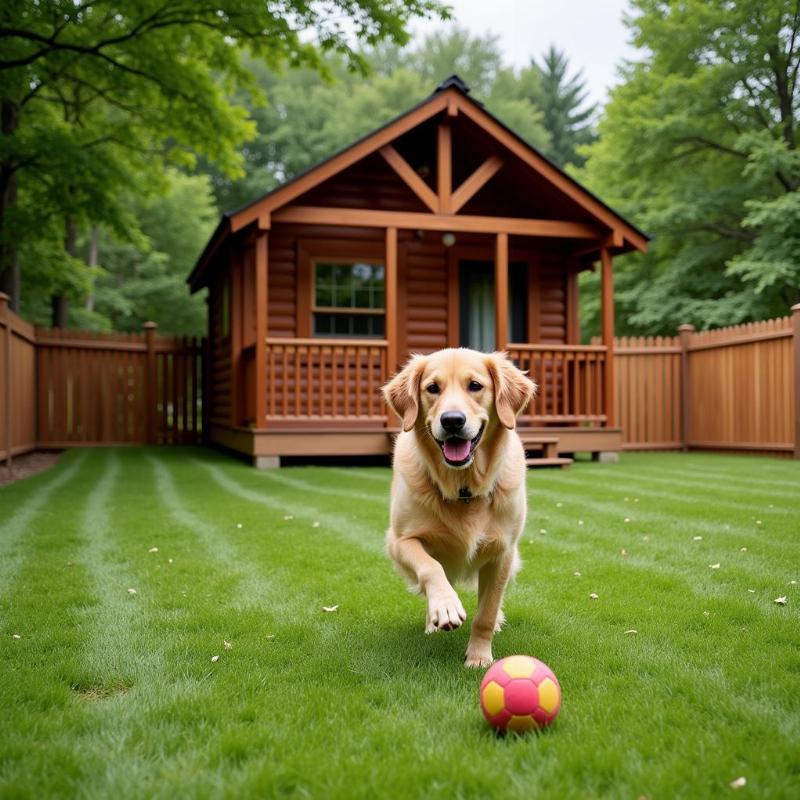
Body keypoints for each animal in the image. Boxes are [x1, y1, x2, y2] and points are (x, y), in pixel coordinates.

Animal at [382, 350, 536, 668]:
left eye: (475, 385)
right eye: (432, 388)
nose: (452, 421)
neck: (463, 487)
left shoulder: (503, 552)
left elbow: (486, 612)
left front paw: (479, 656)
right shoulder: (400, 540)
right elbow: (430, 568)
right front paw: (445, 606)